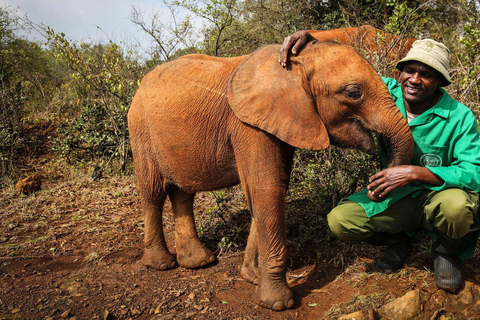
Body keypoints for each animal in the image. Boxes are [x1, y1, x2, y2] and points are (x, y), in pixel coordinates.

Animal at [127, 42, 412, 310]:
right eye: (353, 93)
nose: (374, 188)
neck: (294, 66)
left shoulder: (283, 121)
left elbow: (271, 190)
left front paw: (252, 277)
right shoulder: (248, 125)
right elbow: (267, 190)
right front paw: (277, 303)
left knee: (183, 192)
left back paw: (198, 262)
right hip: (140, 128)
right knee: (153, 191)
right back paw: (161, 264)